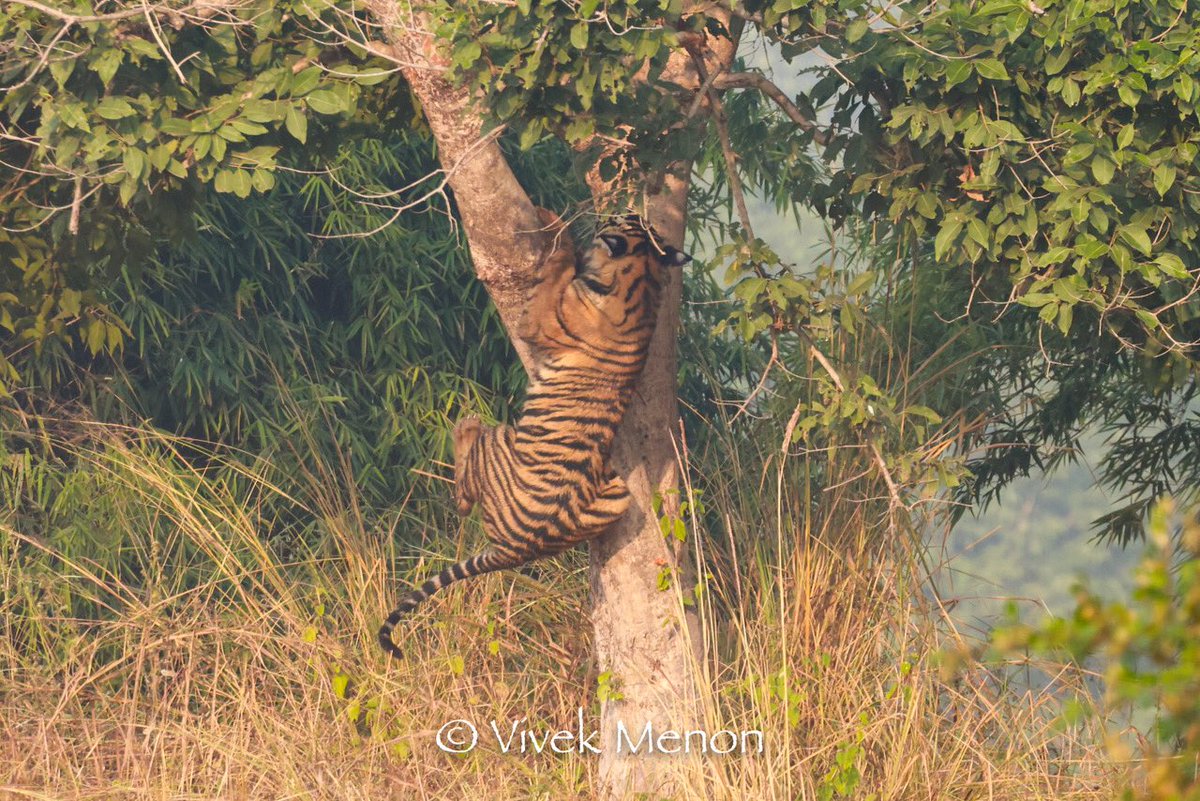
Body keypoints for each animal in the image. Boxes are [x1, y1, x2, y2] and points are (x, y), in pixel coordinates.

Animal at [378, 210, 691, 658]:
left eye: (620, 218)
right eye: (634, 218)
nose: (617, 210)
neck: (642, 276)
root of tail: (513, 551)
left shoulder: (540, 319)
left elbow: (555, 271)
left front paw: (555, 227)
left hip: (501, 438)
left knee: (463, 496)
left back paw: (465, 424)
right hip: (616, 495)